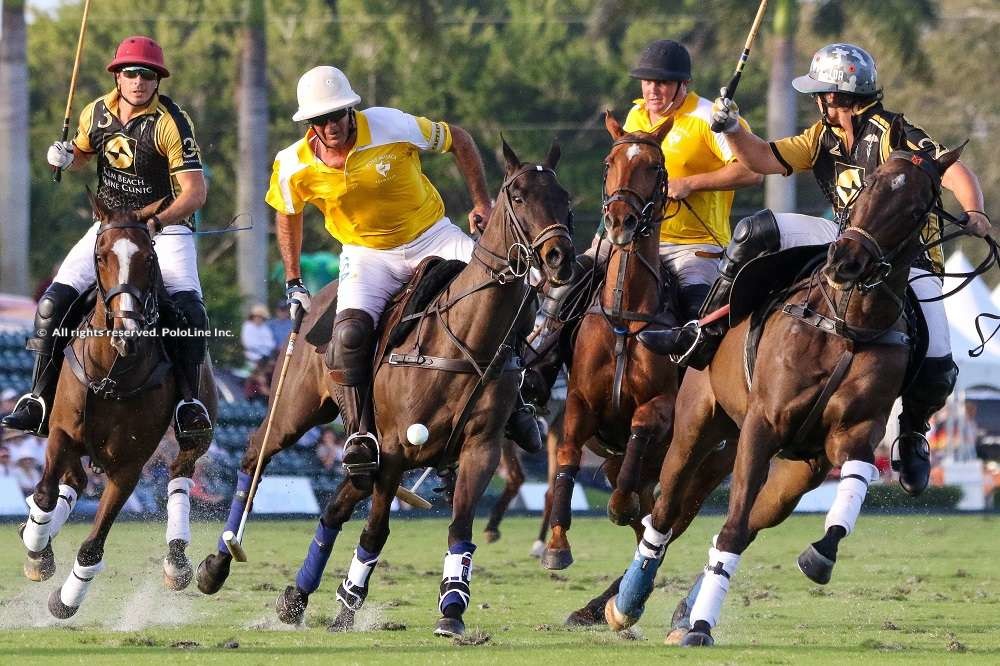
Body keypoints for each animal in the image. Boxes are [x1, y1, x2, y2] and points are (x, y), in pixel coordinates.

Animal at [18, 192, 217, 616]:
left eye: (149, 258)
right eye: (100, 256)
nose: (127, 332)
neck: (112, 372)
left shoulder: (128, 466)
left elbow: (93, 546)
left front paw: (65, 599)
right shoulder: (60, 432)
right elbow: (44, 493)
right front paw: (37, 550)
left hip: (197, 432)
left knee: (180, 471)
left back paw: (176, 561)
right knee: (73, 481)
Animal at [196, 139, 576, 632]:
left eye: (564, 198)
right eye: (518, 196)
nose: (560, 258)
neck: (466, 336)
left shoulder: (482, 447)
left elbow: (460, 529)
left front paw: (452, 606)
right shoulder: (395, 450)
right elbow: (376, 530)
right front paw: (349, 600)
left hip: (363, 457)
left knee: (335, 506)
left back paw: (295, 598)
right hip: (299, 410)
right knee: (254, 456)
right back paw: (217, 562)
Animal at [604, 144, 964, 644]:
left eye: (916, 209)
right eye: (868, 185)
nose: (843, 261)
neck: (845, 323)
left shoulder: (854, 433)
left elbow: (851, 483)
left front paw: (820, 555)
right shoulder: (763, 425)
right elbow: (727, 523)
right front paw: (700, 627)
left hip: (797, 471)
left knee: (749, 523)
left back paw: (683, 612)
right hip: (695, 424)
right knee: (664, 512)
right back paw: (627, 604)